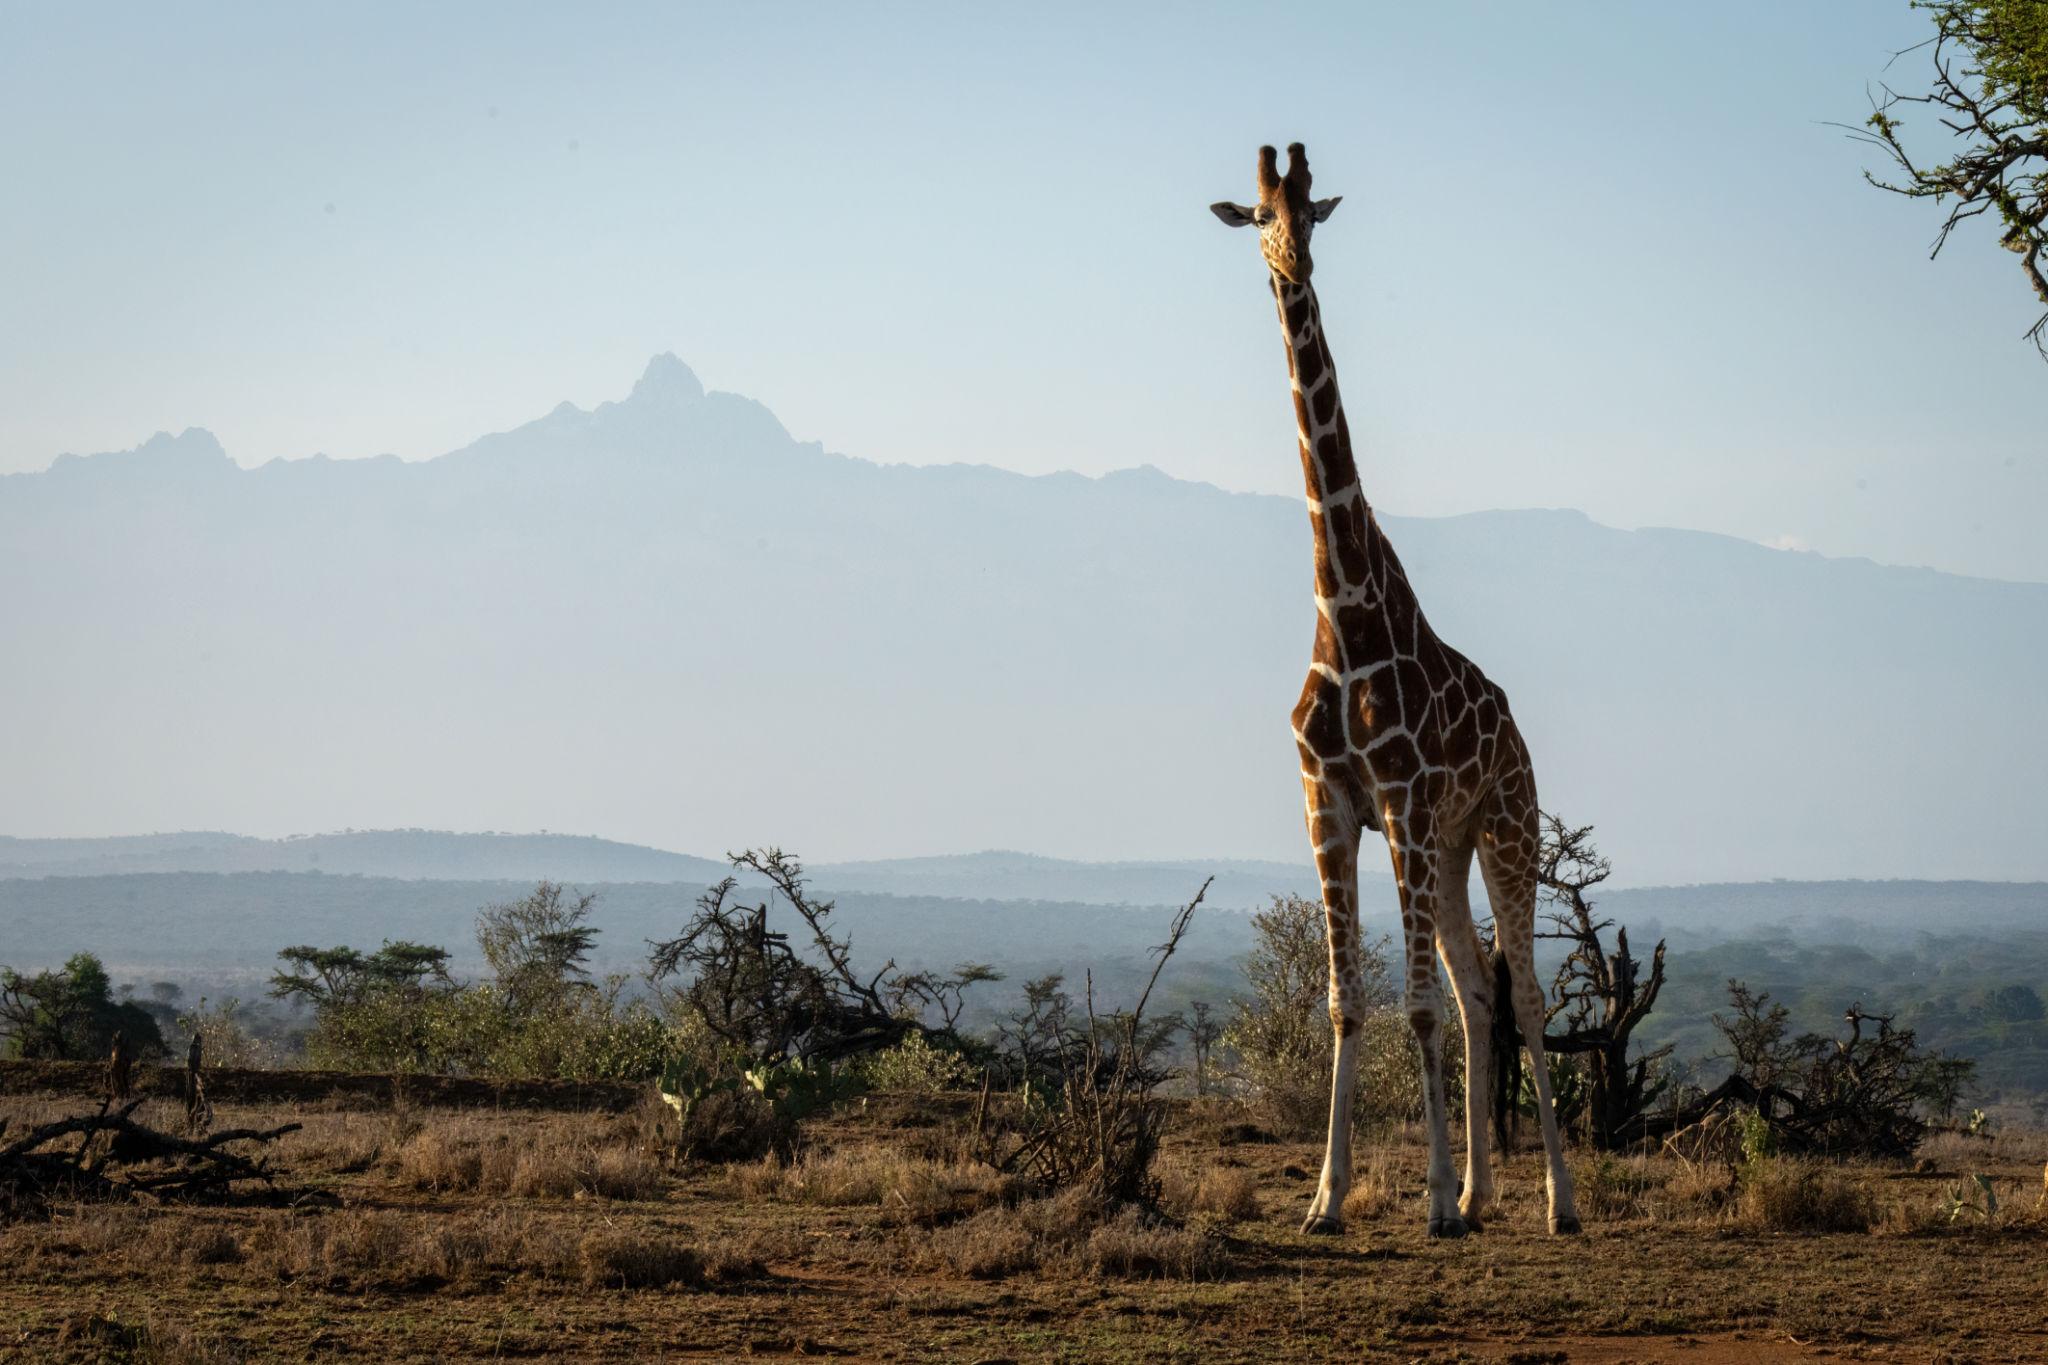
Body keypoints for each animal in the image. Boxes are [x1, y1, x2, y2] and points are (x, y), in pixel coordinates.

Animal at [1211, 143, 1579, 1239]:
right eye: (1257, 215)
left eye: (1311, 213)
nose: (1291, 263)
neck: (1342, 607)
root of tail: (1517, 730)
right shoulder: (1328, 802)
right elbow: (1348, 1002)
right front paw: (1328, 1200)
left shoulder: (1403, 802)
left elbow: (1413, 1005)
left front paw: (1425, 1203)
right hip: (1453, 848)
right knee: (1474, 993)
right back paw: (1479, 1191)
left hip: (1503, 826)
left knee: (1521, 997)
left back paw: (1555, 1201)